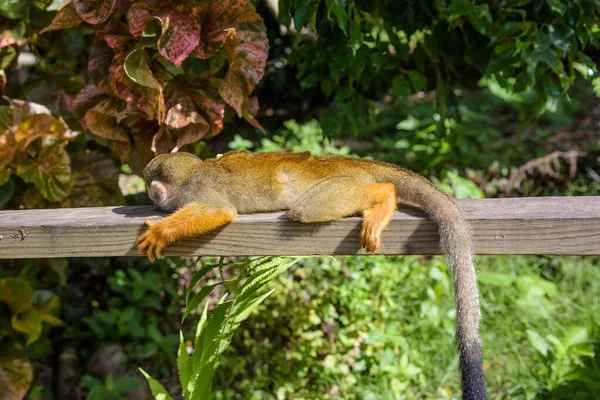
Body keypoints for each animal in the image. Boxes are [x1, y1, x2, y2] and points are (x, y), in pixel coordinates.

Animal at [138, 152, 486, 398]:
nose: (150, 199)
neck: (190, 176)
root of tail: (351, 161)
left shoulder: (196, 191)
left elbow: (219, 211)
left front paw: (162, 231)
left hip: (337, 182)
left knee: (308, 209)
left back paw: (385, 194)